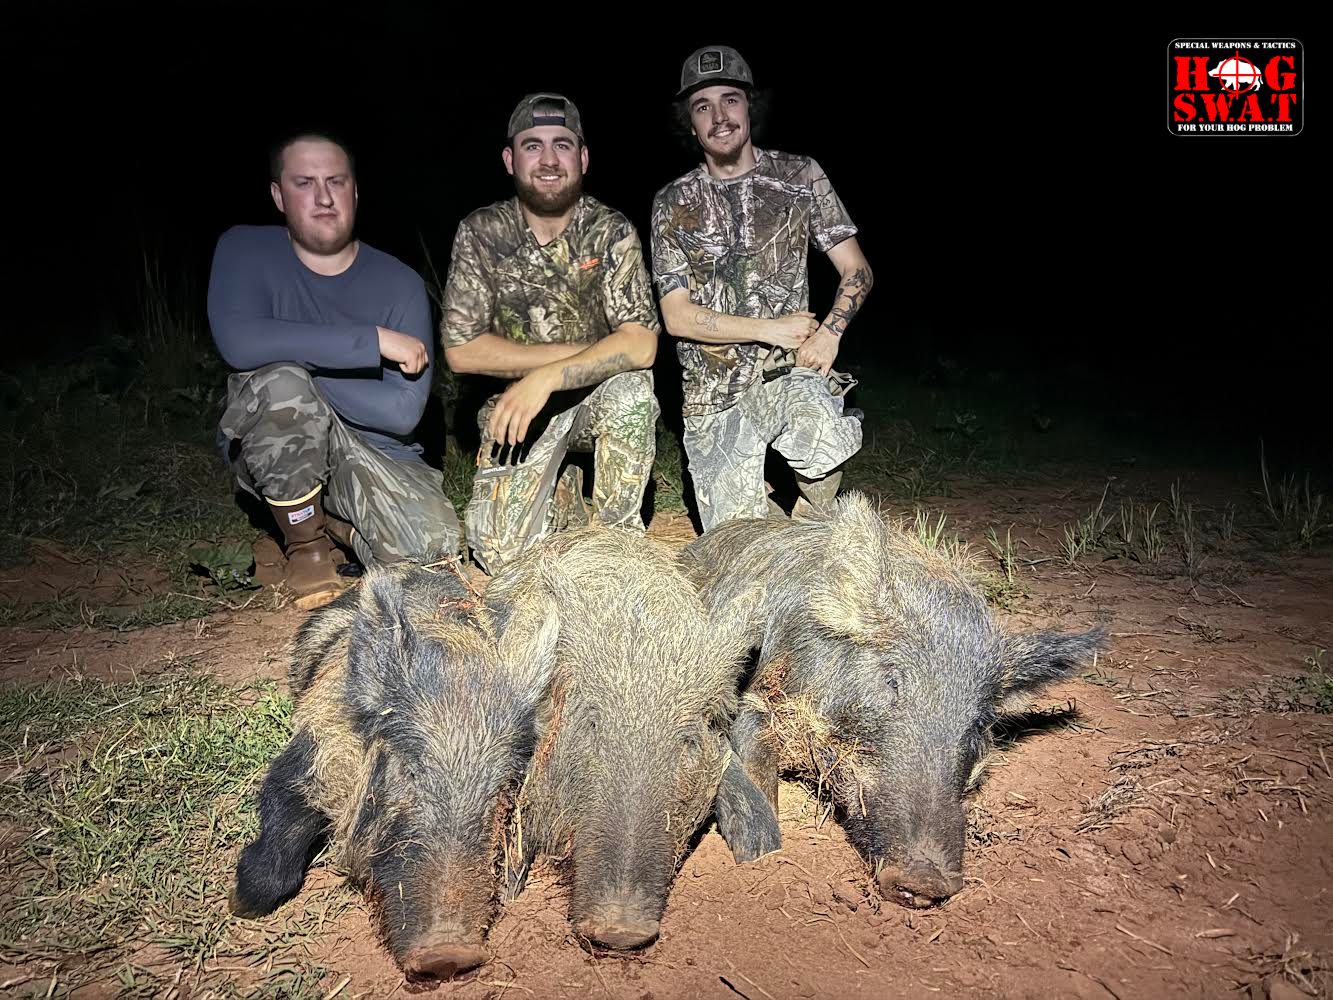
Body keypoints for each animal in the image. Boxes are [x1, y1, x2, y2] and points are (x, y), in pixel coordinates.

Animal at [229, 564, 560, 979]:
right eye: (409, 772)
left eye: (501, 791)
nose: (448, 953)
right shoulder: (311, 748)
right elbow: (283, 813)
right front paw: (240, 905)